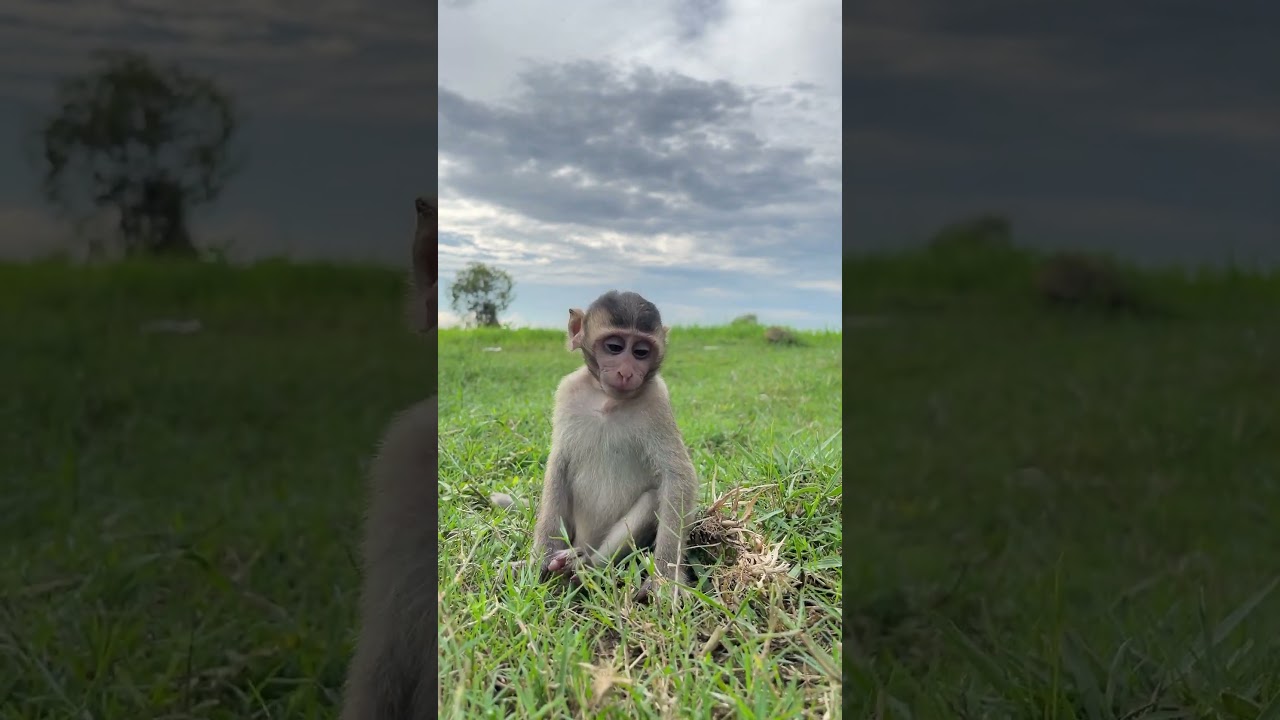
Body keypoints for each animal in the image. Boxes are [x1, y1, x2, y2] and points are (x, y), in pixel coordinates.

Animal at [534, 291, 700, 603]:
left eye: (641, 352)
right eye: (614, 347)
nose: (625, 372)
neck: (607, 401)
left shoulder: (657, 401)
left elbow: (678, 477)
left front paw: (666, 579)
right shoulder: (567, 392)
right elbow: (558, 465)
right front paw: (541, 556)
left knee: (652, 500)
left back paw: (585, 567)